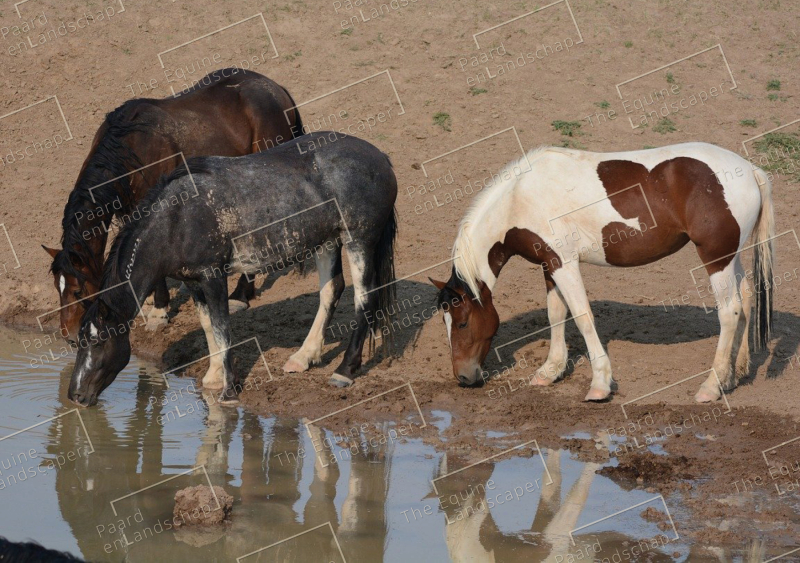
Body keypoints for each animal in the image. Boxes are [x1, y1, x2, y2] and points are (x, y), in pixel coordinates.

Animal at [43, 69, 304, 341]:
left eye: (77, 291)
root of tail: (276, 89)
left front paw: (159, 310)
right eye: (58, 288)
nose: (69, 335)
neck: (131, 148)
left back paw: (241, 295)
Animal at [66, 132, 398, 407]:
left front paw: (228, 390)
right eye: (77, 341)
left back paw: (344, 371)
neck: (176, 219)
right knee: (332, 290)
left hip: (358, 240)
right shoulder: (194, 281)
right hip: (328, 242)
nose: (76, 396)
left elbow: (223, 328)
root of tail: (381, 157)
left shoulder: (214, 276)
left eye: (98, 341)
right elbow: (208, 326)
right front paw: (213, 378)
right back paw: (303, 357)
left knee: (365, 298)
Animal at [432, 142, 775, 403]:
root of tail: (750, 171)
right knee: (746, 299)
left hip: (715, 258)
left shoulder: (565, 263)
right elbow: (556, 314)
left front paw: (599, 384)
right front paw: (550, 371)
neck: (521, 198)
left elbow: (582, 317)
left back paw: (711, 386)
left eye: (462, 323)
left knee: (729, 311)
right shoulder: (550, 265)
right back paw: (732, 375)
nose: (463, 376)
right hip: (730, 257)